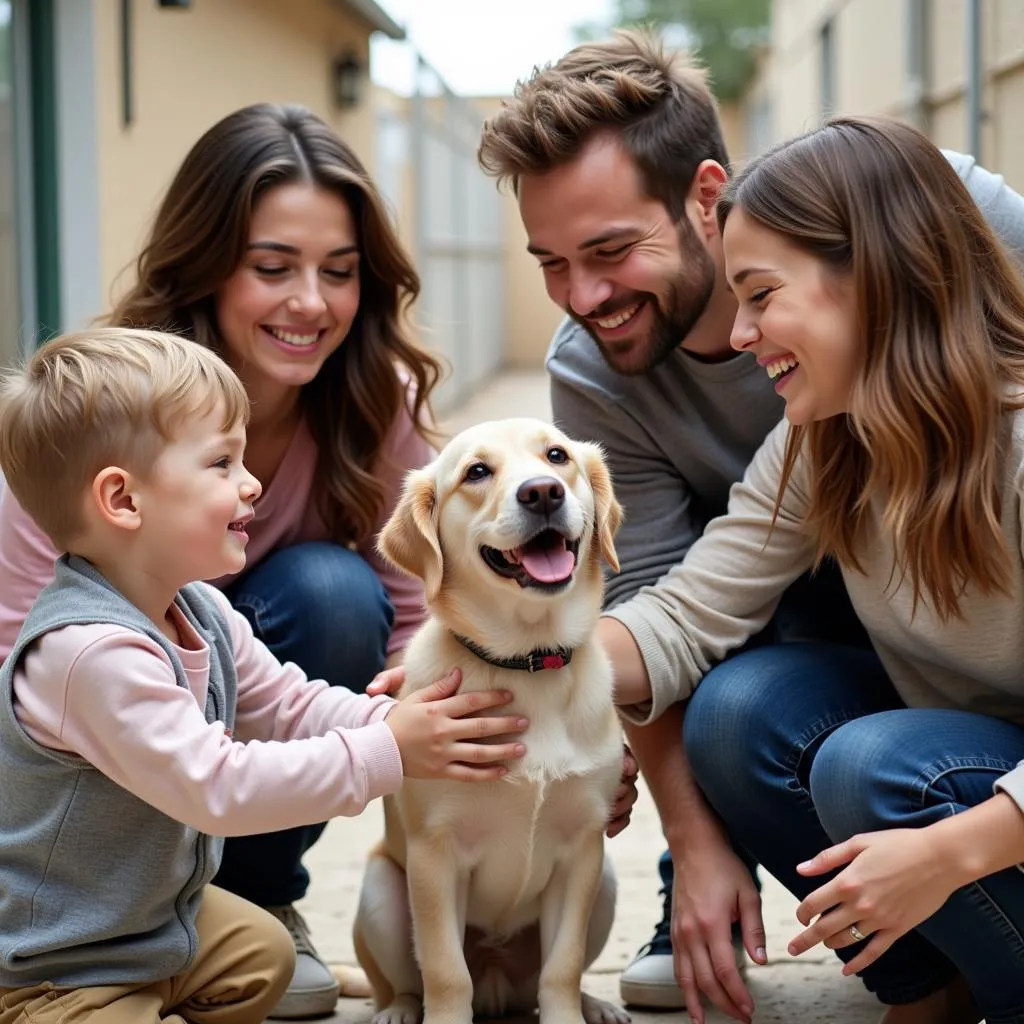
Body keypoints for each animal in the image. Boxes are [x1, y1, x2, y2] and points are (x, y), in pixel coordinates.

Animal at [352, 415, 626, 1024]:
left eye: (557, 456)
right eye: (477, 472)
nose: (543, 492)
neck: (529, 662)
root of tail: (500, 984)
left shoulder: (582, 851)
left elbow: (564, 966)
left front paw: (570, 1014)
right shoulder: (436, 855)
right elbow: (445, 972)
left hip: (607, 884)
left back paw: (597, 1004)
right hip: (380, 890)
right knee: (406, 981)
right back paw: (398, 1009)